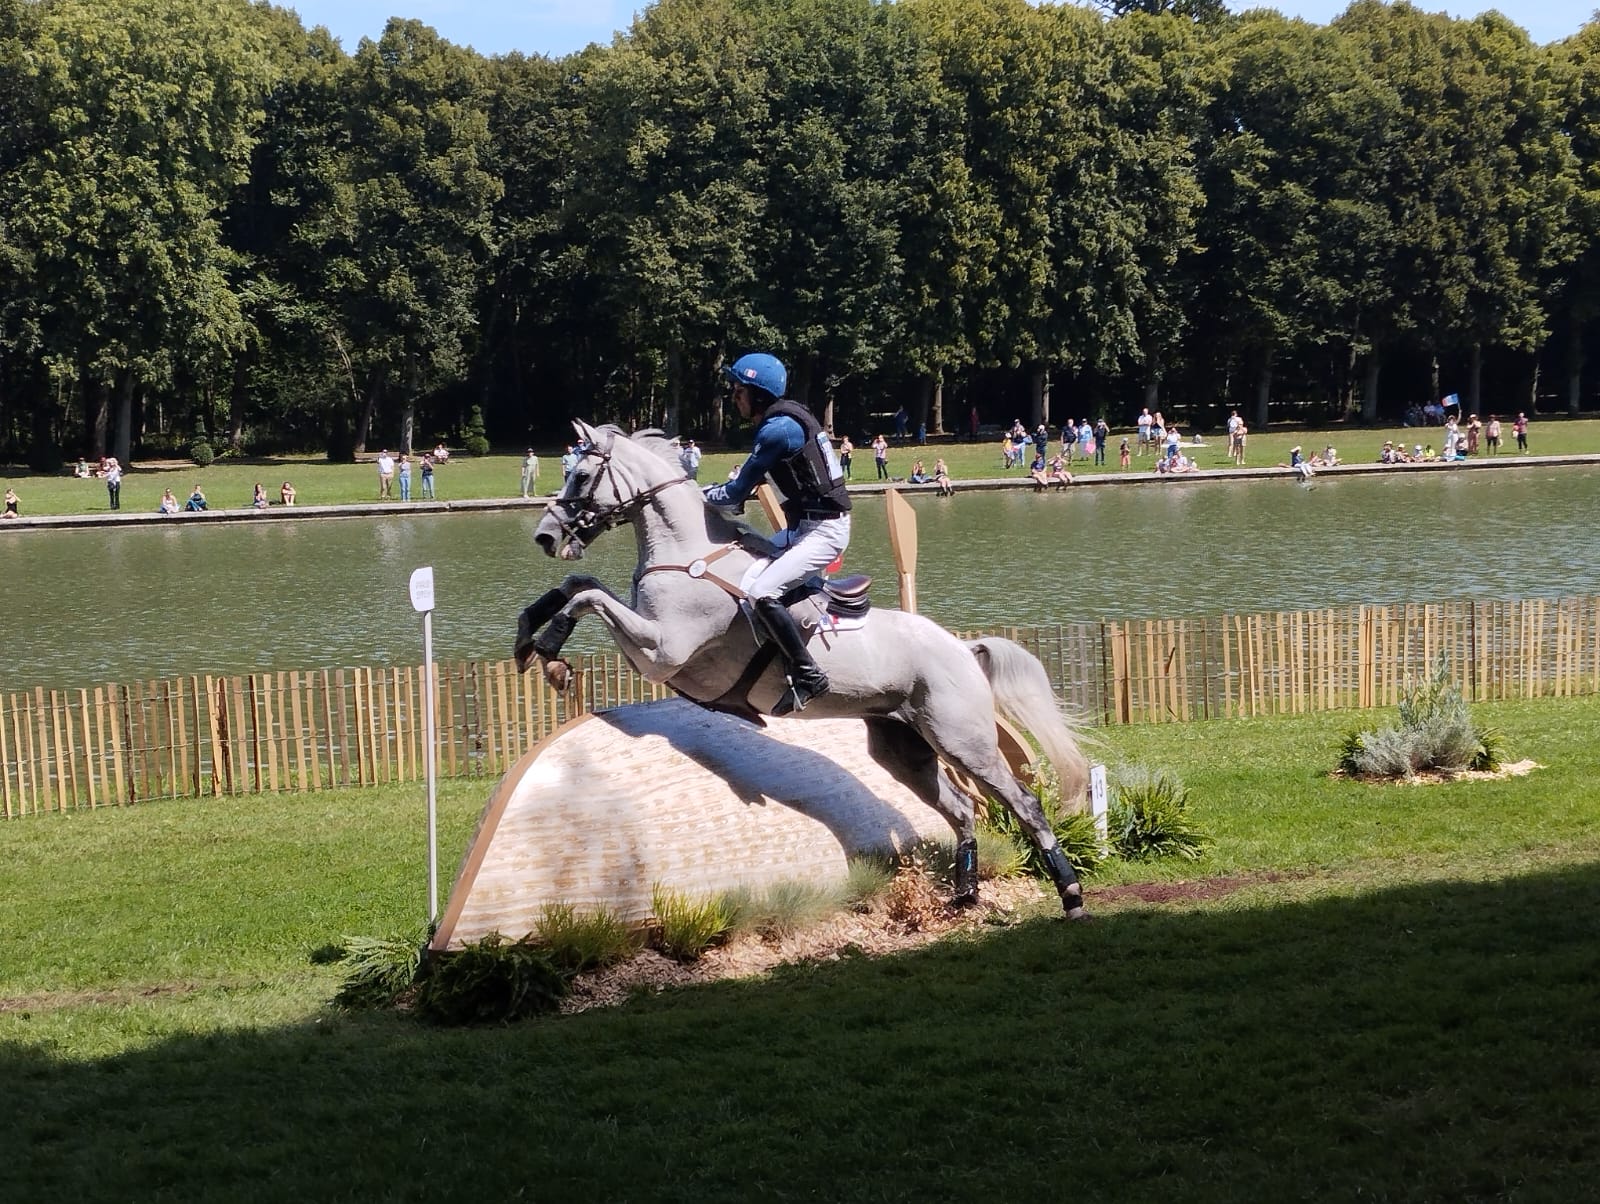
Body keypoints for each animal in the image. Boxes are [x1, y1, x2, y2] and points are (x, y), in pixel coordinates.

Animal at [516, 420, 1091, 919]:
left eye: (580, 475)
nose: (545, 536)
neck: (688, 552)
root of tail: (963, 648)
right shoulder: (654, 645)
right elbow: (579, 583)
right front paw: (527, 635)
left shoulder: (662, 653)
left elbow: (587, 596)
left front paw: (552, 654)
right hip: (903, 749)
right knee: (962, 809)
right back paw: (965, 893)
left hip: (962, 739)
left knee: (1024, 803)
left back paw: (1070, 894)